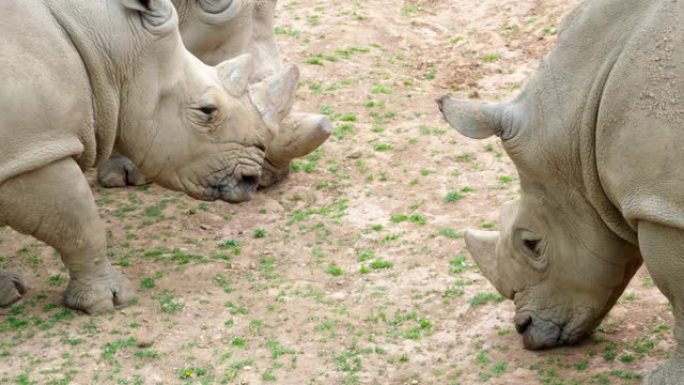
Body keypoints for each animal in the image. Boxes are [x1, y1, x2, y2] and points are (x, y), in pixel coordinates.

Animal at [0, 0, 300, 312]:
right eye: (207, 111)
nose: (252, 180)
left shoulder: (24, 149)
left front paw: (7, 292)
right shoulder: (35, 150)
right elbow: (79, 223)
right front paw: (110, 301)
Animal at [438, 0, 684, 380]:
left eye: (531, 244)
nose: (523, 329)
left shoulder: (663, 205)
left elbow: (678, 294)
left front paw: (661, 380)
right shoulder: (660, 198)